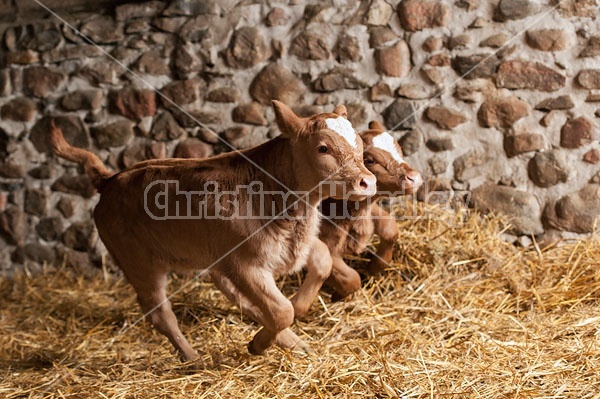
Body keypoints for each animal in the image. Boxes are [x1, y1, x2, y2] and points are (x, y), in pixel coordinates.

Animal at [50, 101, 376, 362]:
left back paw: (292, 342)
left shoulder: (294, 244)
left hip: (209, 261)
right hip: (139, 263)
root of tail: (110, 179)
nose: (368, 181)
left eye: (360, 146)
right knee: (161, 313)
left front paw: (313, 301)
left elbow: (321, 262)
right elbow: (282, 309)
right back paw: (193, 358)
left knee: (240, 299)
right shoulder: (244, 262)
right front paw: (261, 342)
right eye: (323, 148)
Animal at [318, 120, 422, 302]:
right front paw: (337, 297)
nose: (414, 178)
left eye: (399, 149)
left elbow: (390, 229)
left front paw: (372, 268)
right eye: (370, 160)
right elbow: (351, 279)